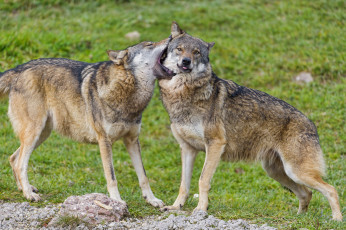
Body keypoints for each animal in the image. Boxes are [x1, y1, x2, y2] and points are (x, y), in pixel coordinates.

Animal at [0, 36, 174, 207]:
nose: (171, 37)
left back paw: (25, 189)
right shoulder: (104, 141)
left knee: (13, 158)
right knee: (21, 164)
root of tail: (19, 68)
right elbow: (112, 177)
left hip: (42, 135)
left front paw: (152, 200)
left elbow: (143, 176)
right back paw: (29, 194)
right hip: (34, 134)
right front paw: (116, 201)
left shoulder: (132, 140)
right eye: (150, 44)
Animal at [157, 22, 344, 221]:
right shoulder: (187, 149)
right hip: (277, 172)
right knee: (306, 193)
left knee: (331, 189)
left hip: (295, 172)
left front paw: (201, 209)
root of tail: (312, 124)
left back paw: (337, 220)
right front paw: (175, 206)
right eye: (179, 49)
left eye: (196, 52)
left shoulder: (215, 144)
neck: (182, 94)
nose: (186, 61)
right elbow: (183, 184)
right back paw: (298, 218)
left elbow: (203, 180)